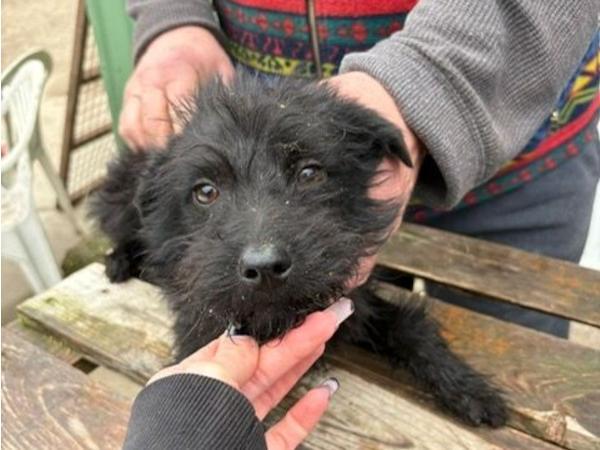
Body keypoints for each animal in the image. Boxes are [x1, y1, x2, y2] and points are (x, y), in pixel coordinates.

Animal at [91, 74, 507, 427]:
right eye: (205, 191)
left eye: (309, 173)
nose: (265, 267)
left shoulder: (356, 299)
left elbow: (409, 324)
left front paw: (470, 389)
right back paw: (120, 261)